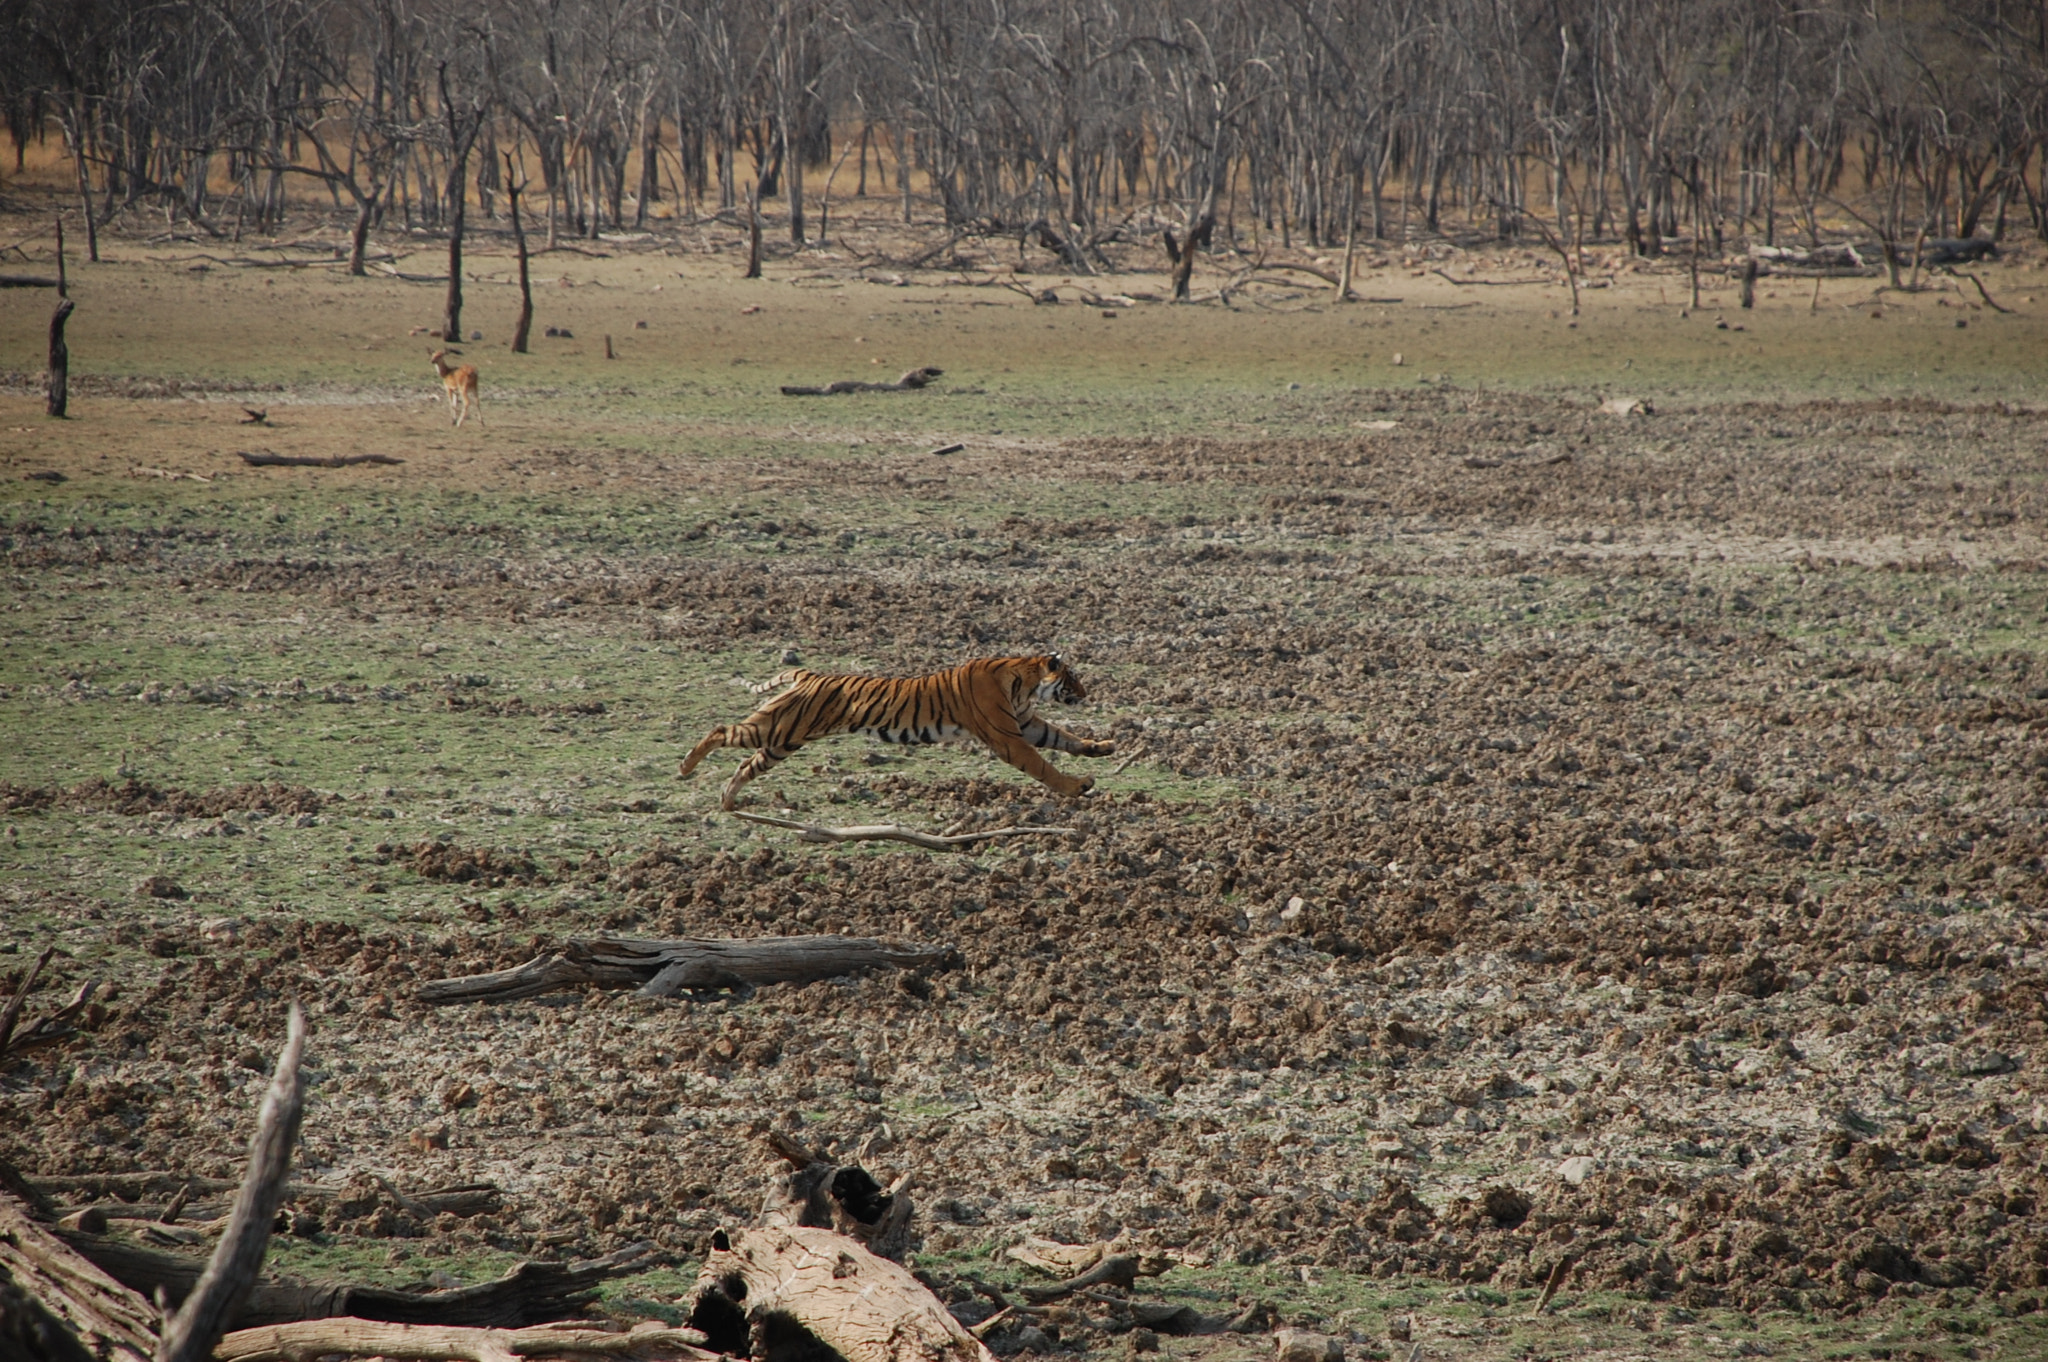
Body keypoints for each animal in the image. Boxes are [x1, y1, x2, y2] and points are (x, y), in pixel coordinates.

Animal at [679, 654, 1114, 810]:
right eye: (1073, 679)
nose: (1086, 694)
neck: (1025, 681)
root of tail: (808, 673)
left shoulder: (1026, 723)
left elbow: (1064, 738)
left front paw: (1102, 747)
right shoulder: (1008, 736)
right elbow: (1044, 766)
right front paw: (1076, 787)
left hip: (782, 741)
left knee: (746, 765)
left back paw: (727, 801)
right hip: (774, 728)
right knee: (721, 729)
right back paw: (685, 767)